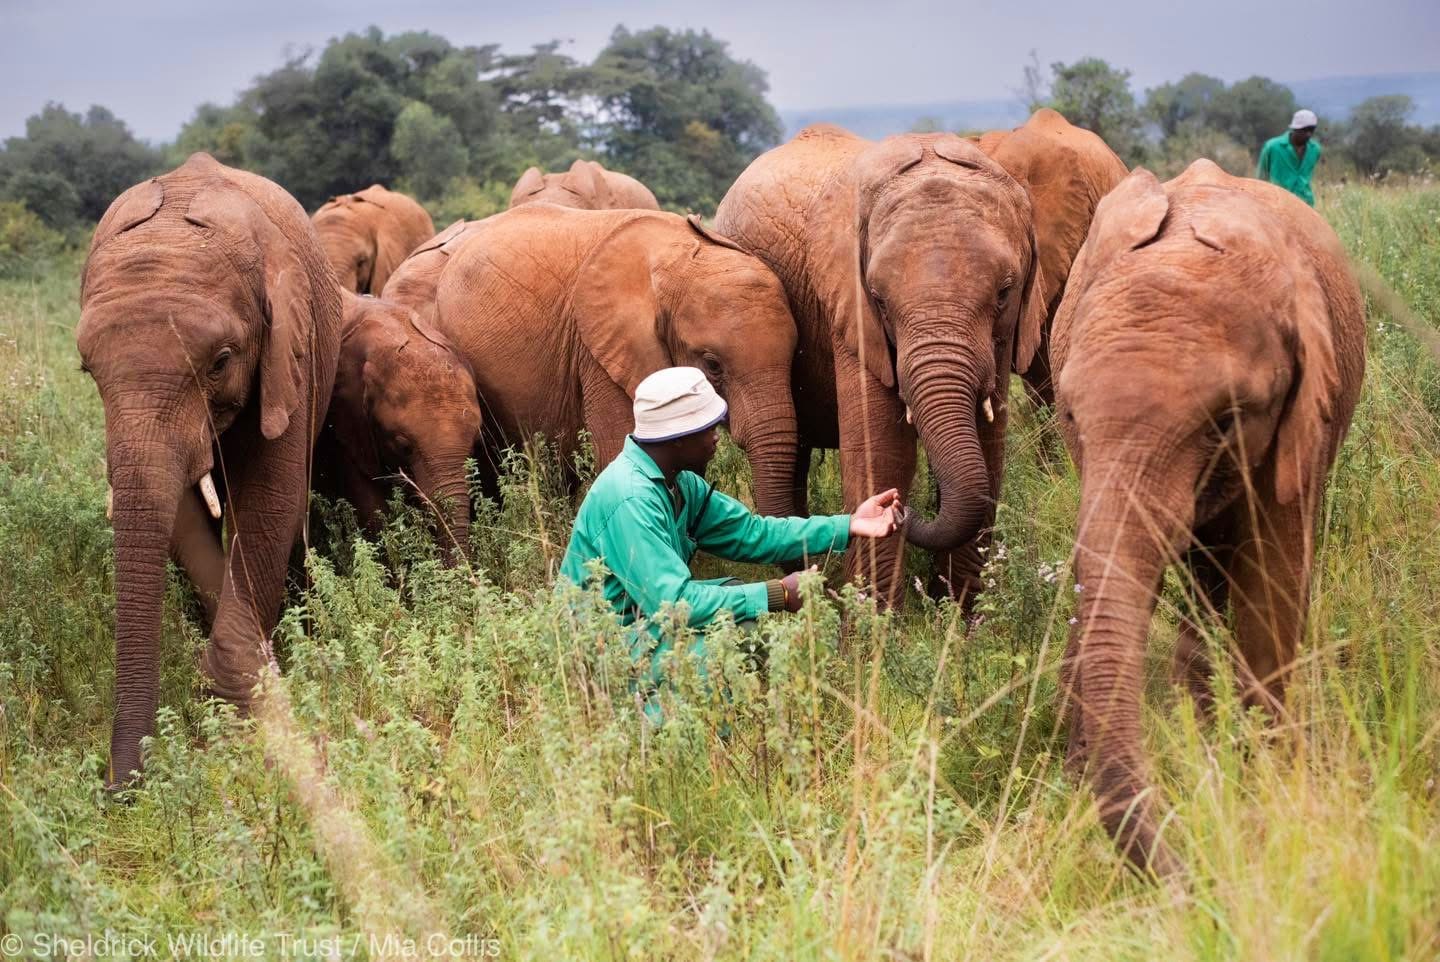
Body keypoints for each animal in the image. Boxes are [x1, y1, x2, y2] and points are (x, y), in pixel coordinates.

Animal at [77, 153, 342, 788]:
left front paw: (235, 706)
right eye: (87, 370)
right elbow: (184, 514)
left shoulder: (288, 351)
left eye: (221, 362)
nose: (120, 788)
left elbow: (269, 499)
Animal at [715, 125, 1047, 606]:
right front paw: (878, 624)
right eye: (879, 300)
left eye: (1005, 292)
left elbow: (988, 447)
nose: (903, 510)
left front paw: (963, 617)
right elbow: (884, 450)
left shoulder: (1003, 339)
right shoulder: (849, 312)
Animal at [1051, 160, 1366, 877]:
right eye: (1070, 414)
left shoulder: (1302, 415)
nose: (1192, 869)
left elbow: (1271, 587)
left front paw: (1266, 781)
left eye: (1226, 421)